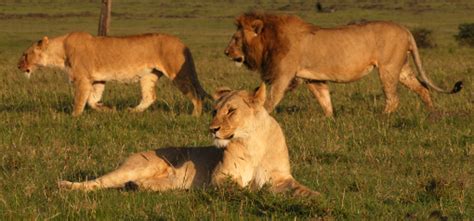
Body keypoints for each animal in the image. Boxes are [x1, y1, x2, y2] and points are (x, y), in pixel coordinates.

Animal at [18, 32, 207, 117]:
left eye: (25, 54)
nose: (18, 65)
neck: (60, 51)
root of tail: (181, 43)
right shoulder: (98, 80)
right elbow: (92, 100)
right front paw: (107, 109)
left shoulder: (82, 79)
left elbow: (80, 100)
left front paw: (74, 117)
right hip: (148, 75)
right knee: (150, 97)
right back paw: (133, 111)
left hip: (177, 74)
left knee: (196, 94)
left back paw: (195, 115)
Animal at [58, 83, 318, 197]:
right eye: (215, 111)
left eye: (231, 111)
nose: (212, 129)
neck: (252, 141)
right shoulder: (220, 177)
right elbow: (241, 188)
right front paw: (255, 192)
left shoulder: (281, 177)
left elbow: (301, 189)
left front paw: (317, 197)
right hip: (138, 166)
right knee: (98, 182)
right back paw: (66, 185)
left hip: (171, 183)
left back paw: (134, 187)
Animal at [224, 12, 462, 116]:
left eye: (235, 39)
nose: (226, 52)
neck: (268, 41)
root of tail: (405, 29)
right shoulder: (313, 79)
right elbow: (325, 101)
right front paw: (330, 120)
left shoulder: (283, 76)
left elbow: (270, 100)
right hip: (401, 68)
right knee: (422, 88)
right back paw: (432, 114)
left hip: (388, 68)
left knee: (393, 98)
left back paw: (382, 118)